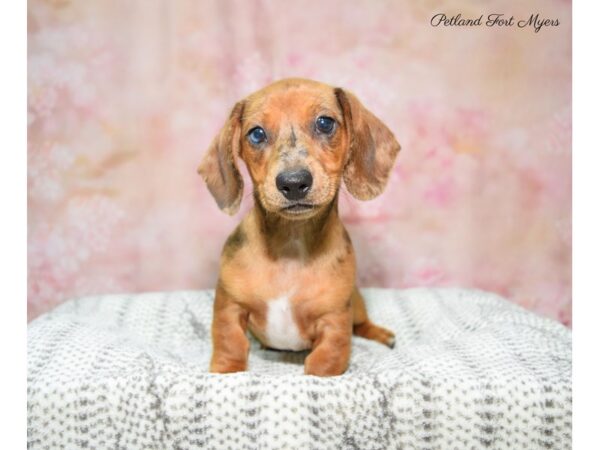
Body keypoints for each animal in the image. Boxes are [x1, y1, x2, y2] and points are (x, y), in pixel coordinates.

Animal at [199, 78, 400, 376]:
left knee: (361, 324)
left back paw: (381, 334)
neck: (290, 246)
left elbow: (327, 358)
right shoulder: (229, 304)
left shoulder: (335, 318)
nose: (293, 183)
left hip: (356, 302)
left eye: (325, 123)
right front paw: (227, 369)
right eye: (256, 134)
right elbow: (229, 340)